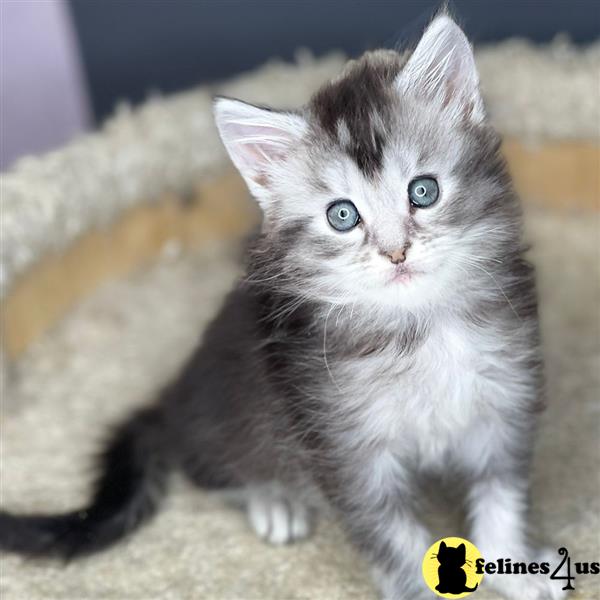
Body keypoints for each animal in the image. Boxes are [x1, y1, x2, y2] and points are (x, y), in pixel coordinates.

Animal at [0, 12, 568, 600]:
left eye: (423, 191)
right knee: (211, 472)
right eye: (343, 215)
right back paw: (273, 500)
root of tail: (173, 395)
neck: (418, 329)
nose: (395, 252)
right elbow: (395, 540)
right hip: (230, 426)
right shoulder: (342, 447)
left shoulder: (505, 405)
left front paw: (516, 565)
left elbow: (502, 499)